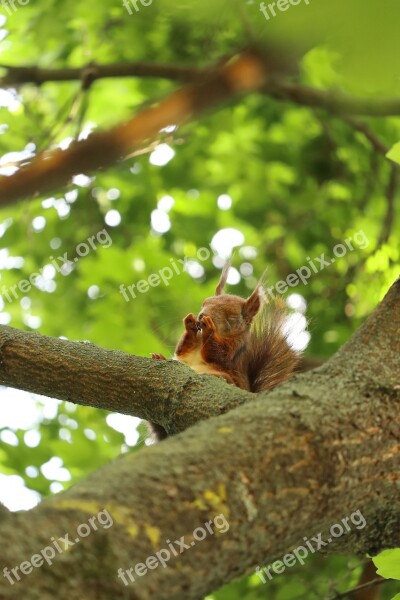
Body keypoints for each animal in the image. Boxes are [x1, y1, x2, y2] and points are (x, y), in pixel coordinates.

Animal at [149, 266, 300, 440]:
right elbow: (181, 349)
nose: (201, 316)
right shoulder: (189, 349)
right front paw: (189, 323)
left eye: (231, 315)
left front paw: (208, 327)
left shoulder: (234, 349)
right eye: (204, 303)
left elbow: (218, 354)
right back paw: (159, 357)